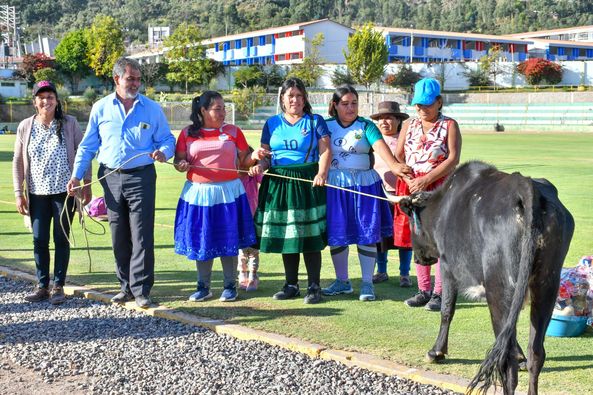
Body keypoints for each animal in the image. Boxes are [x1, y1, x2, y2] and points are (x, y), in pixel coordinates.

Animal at [398, 162, 572, 395]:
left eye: (409, 224)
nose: (418, 259)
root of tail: (525, 185)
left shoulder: (447, 266)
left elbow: (447, 310)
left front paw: (436, 352)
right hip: (547, 284)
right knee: (535, 352)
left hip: (499, 287)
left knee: (506, 358)